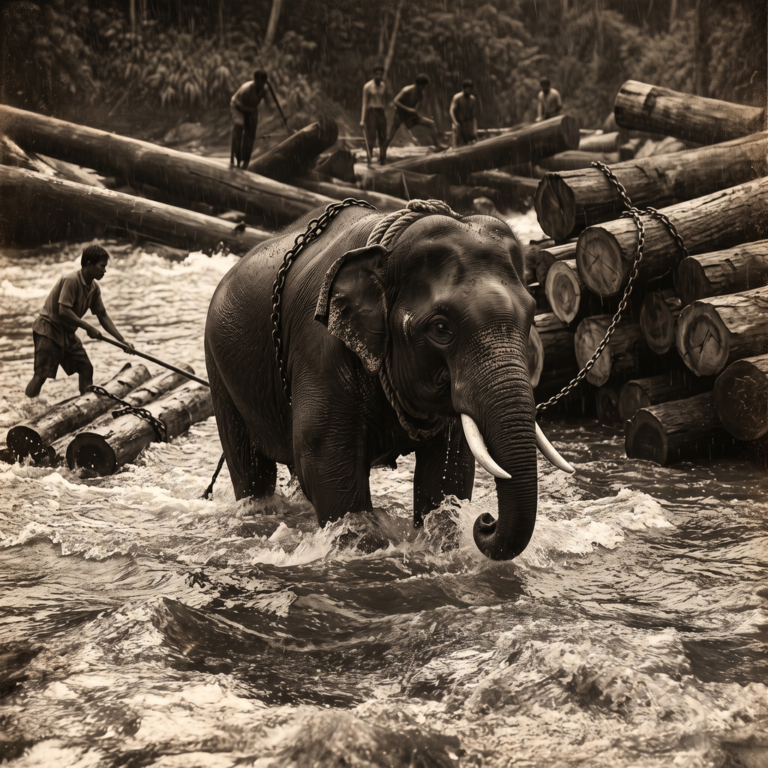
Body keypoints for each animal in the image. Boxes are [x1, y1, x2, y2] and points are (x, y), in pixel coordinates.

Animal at [205, 199, 573, 561]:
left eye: (532, 314)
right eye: (441, 327)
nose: (485, 520)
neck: (387, 252)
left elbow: (449, 471)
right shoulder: (320, 349)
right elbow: (325, 466)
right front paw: (363, 550)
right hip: (219, 369)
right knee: (250, 470)